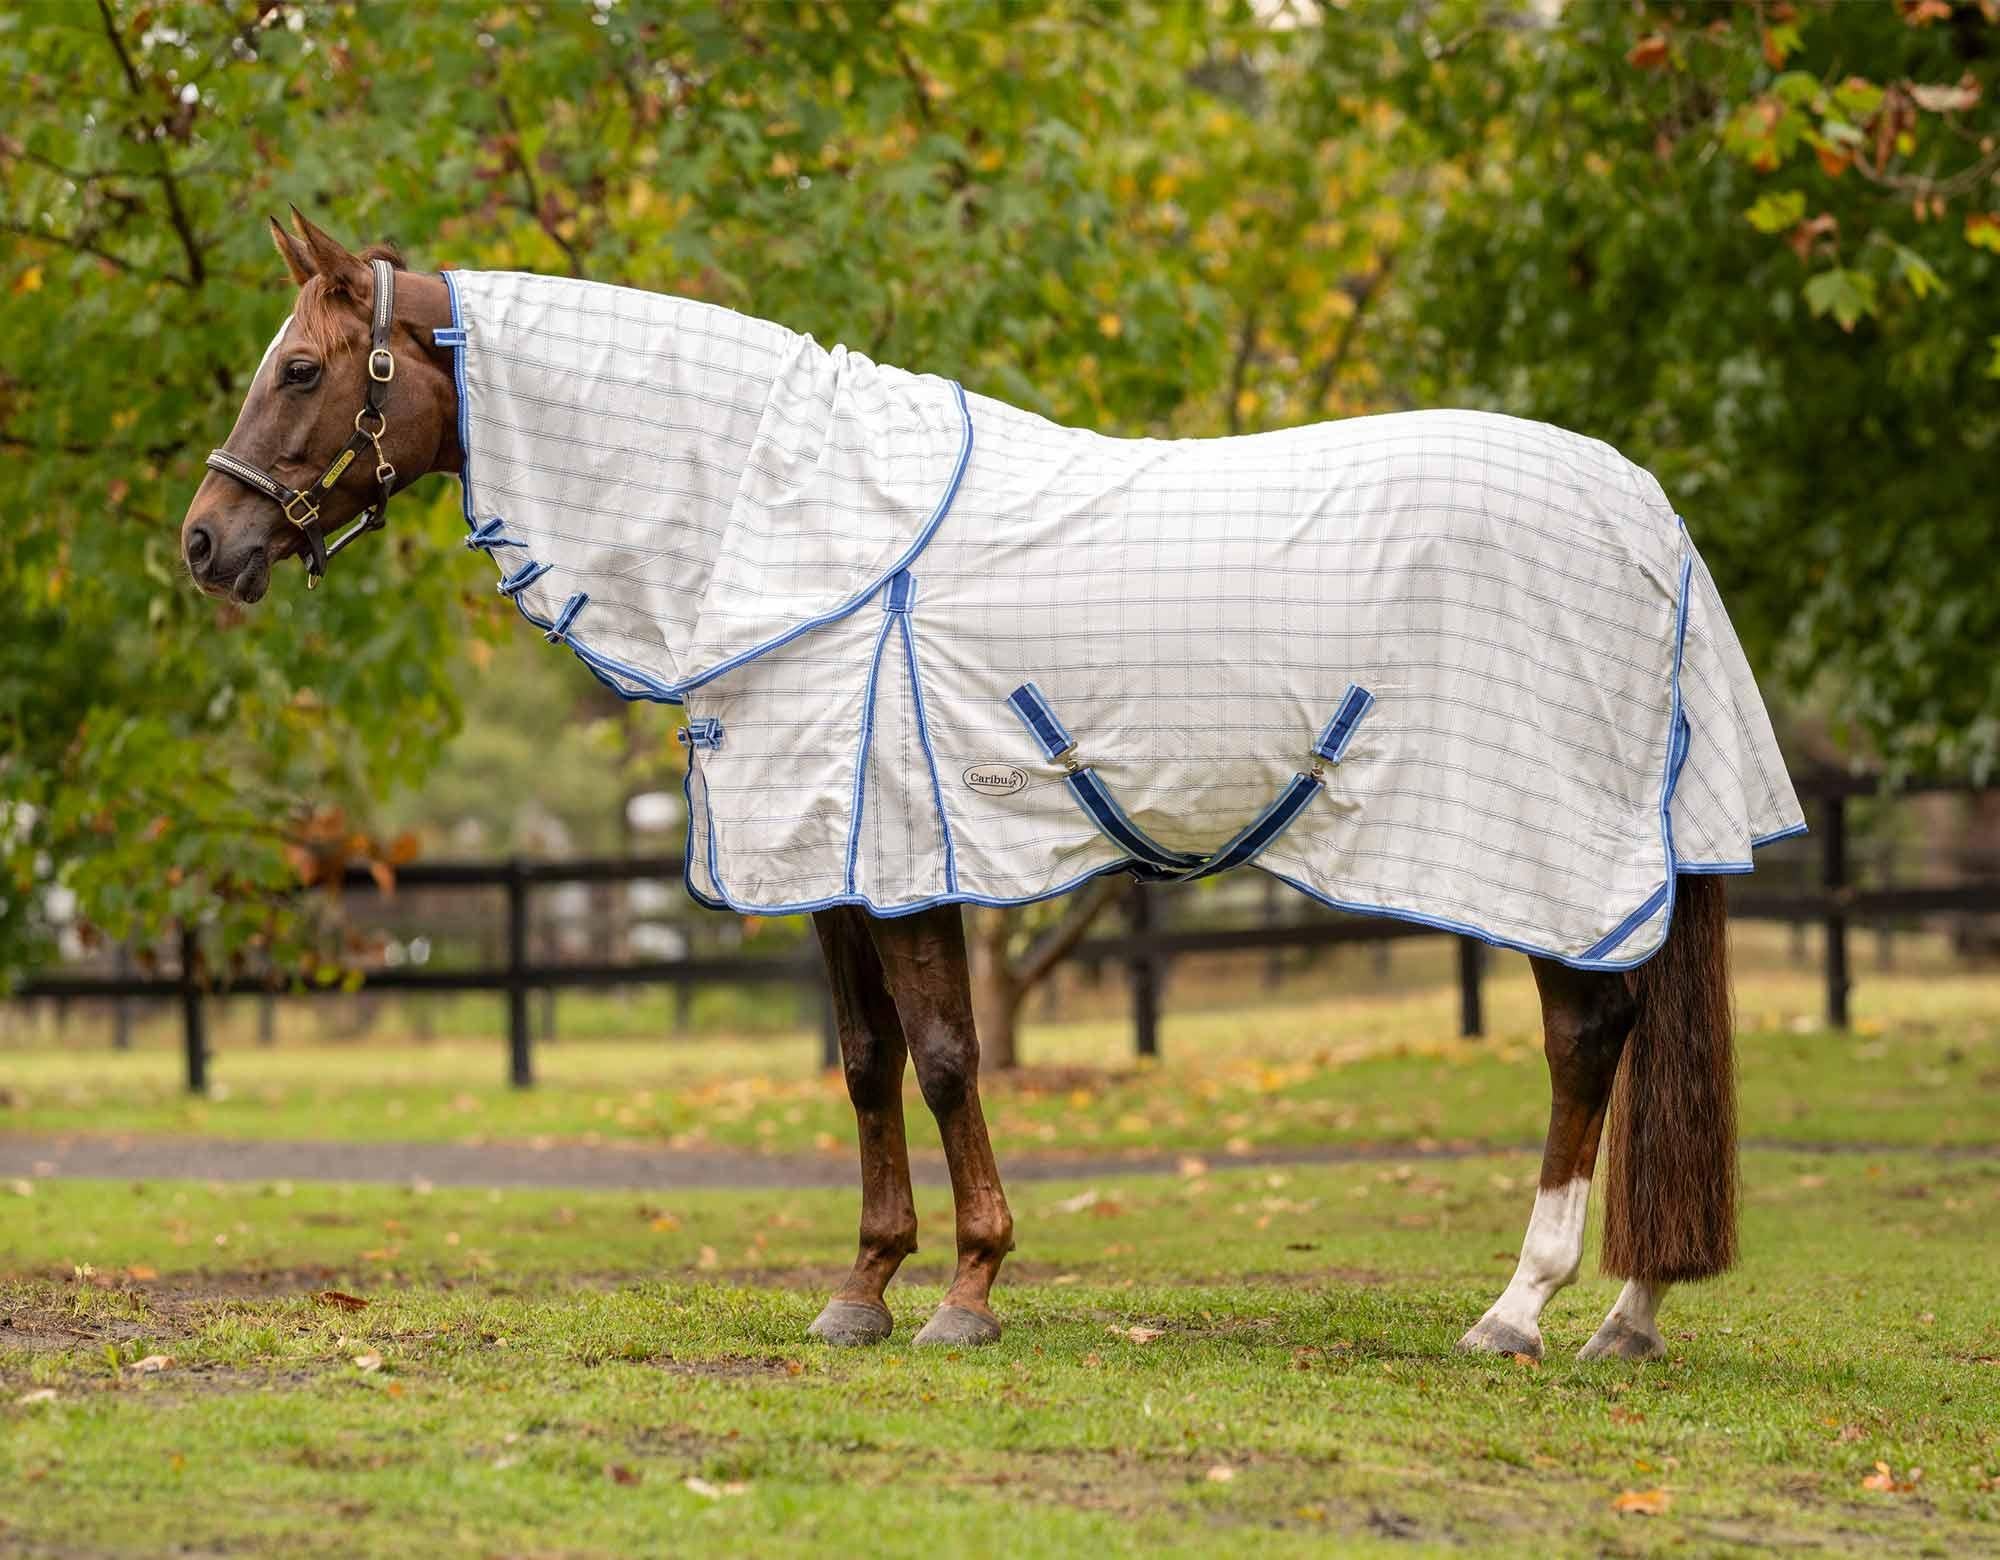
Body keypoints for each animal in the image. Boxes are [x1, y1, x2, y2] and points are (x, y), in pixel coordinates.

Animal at [180, 212, 1803, 1359]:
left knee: (1587, 1039)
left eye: (303, 370)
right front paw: (862, 1289)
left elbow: (951, 1056)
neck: (778, 524)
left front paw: (967, 1290)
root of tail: (1646, 508)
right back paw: (1627, 1317)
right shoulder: (832, 863)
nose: (205, 542)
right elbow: (865, 1061)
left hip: (1538, 854)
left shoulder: (903, 853)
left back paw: (1523, 1310)